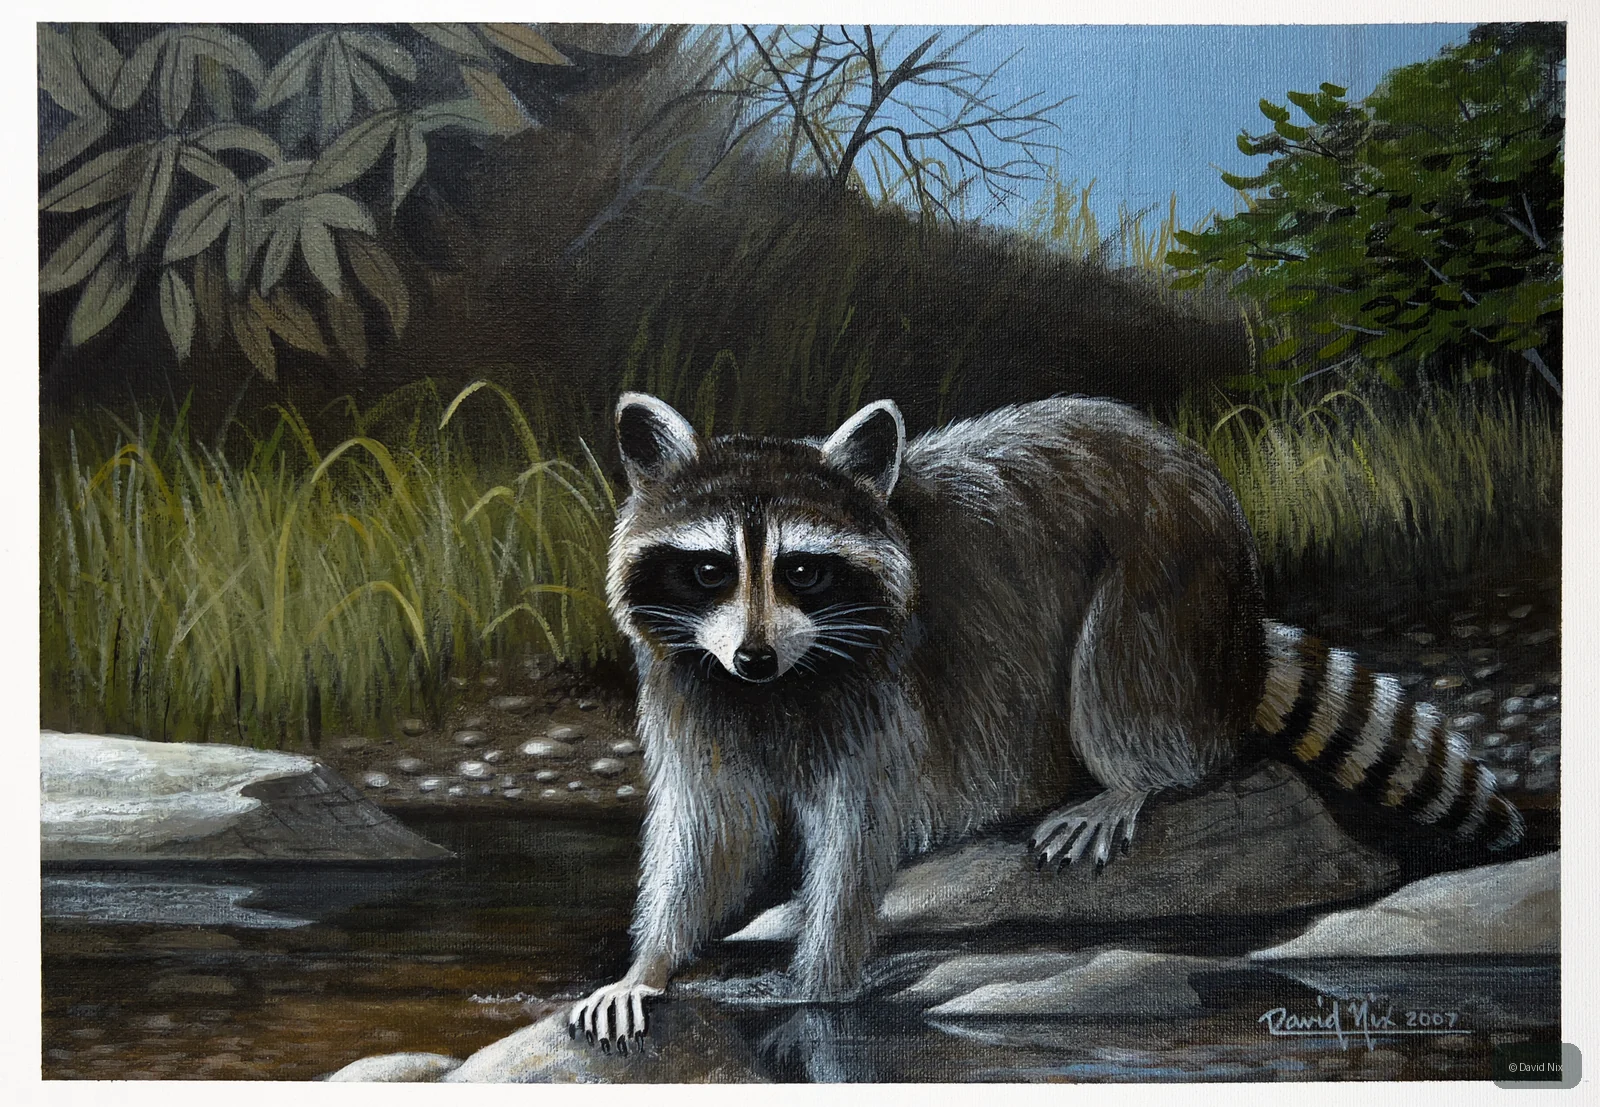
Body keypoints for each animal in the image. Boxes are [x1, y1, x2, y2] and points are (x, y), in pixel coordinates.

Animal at [569, 392, 1524, 1050]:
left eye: (803, 569)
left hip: (1171, 578)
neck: (781, 683)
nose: (756, 655)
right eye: (710, 569)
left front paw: (820, 982)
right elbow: (710, 829)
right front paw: (653, 959)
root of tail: (1243, 642)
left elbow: (855, 835)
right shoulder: (693, 681)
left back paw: (1130, 777)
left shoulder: (883, 694)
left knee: (1120, 673)